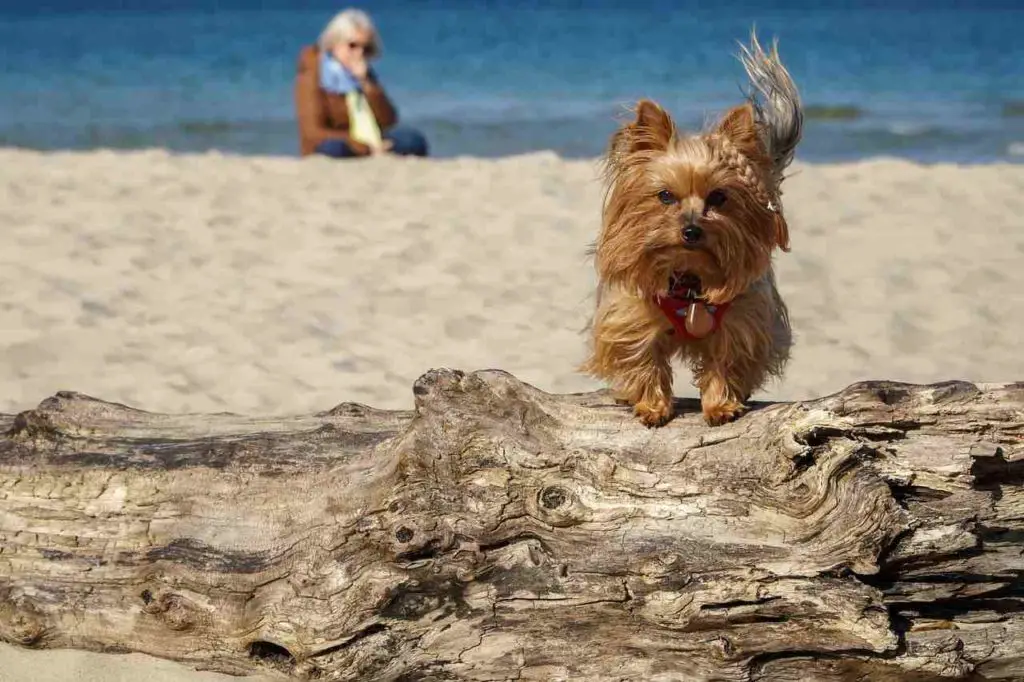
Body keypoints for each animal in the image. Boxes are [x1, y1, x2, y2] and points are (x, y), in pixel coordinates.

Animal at [581, 33, 802, 425]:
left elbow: (726, 359)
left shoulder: (742, 318)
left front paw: (721, 405)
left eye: (718, 197)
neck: (688, 277)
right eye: (665, 196)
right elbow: (643, 357)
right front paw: (652, 406)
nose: (691, 231)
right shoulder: (631, 313)